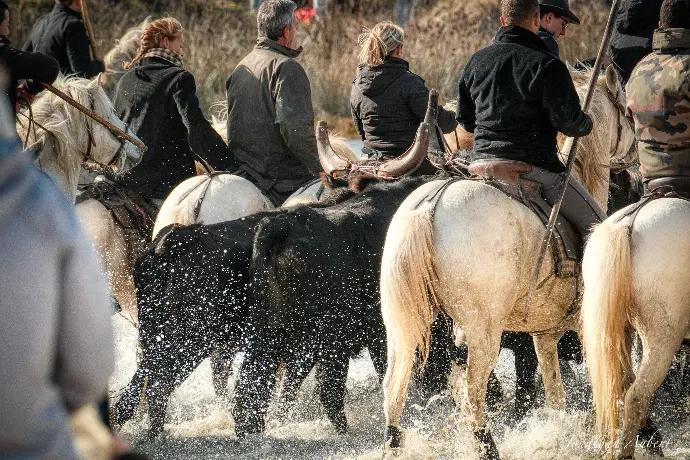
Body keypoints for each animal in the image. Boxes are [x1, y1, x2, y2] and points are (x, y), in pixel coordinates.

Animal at [376, 66, 636, 458]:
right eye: (627, 114)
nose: (635, 163)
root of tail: (430, 205)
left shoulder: (545, 335)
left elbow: (556, 396)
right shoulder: (592, 323)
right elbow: (616, 382)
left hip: (402, 323)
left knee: (395, 385)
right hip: (483, 332)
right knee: (473, 393)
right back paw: (487, 446)